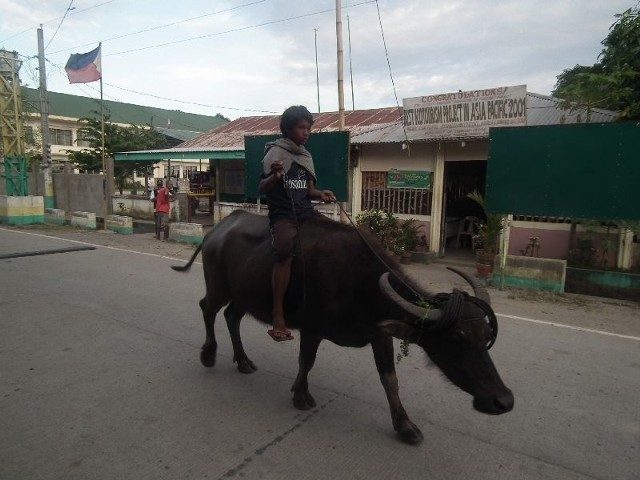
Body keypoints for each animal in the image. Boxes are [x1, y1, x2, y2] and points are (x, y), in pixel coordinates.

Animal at [172, 210, 512, 442]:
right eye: (456, 338)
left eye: (485, 335)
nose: (503, 400)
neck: (359, 281)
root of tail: (218, 229)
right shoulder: (312, 328)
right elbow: (306, 360)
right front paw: (300, 395)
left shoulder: (380, 335)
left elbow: (390, 379)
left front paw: (404, 426)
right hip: (219, 287)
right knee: (207, 309)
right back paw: (209, 354)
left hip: (244, 296)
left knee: (231, 317)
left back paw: (243, 361)